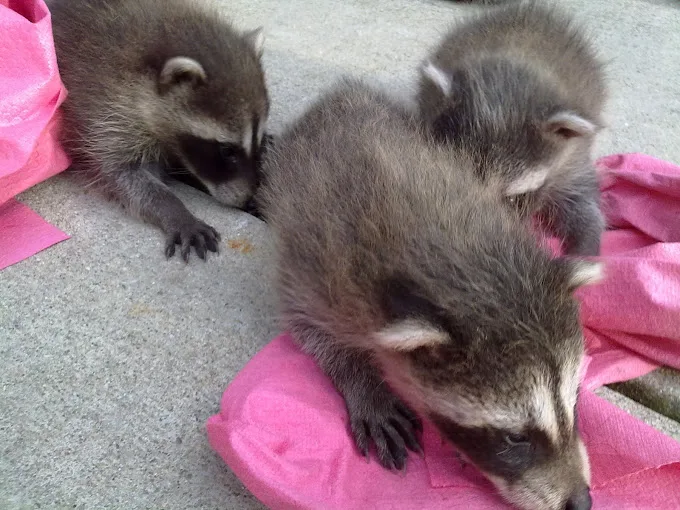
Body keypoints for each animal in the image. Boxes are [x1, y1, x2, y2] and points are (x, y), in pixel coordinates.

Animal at [49, 0, 270, 261]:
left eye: (259, 139)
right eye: (226, 150)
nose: (247, 198)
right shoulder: (102, 111)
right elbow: (119, 174)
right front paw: (175, 211)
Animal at [257, 79, 602, 510]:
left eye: (574, 403)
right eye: (515, 437)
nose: (581, 502)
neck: (460, 254)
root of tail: (340, 95)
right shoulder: (319, 269)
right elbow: (311, 329)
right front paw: (362, 381)